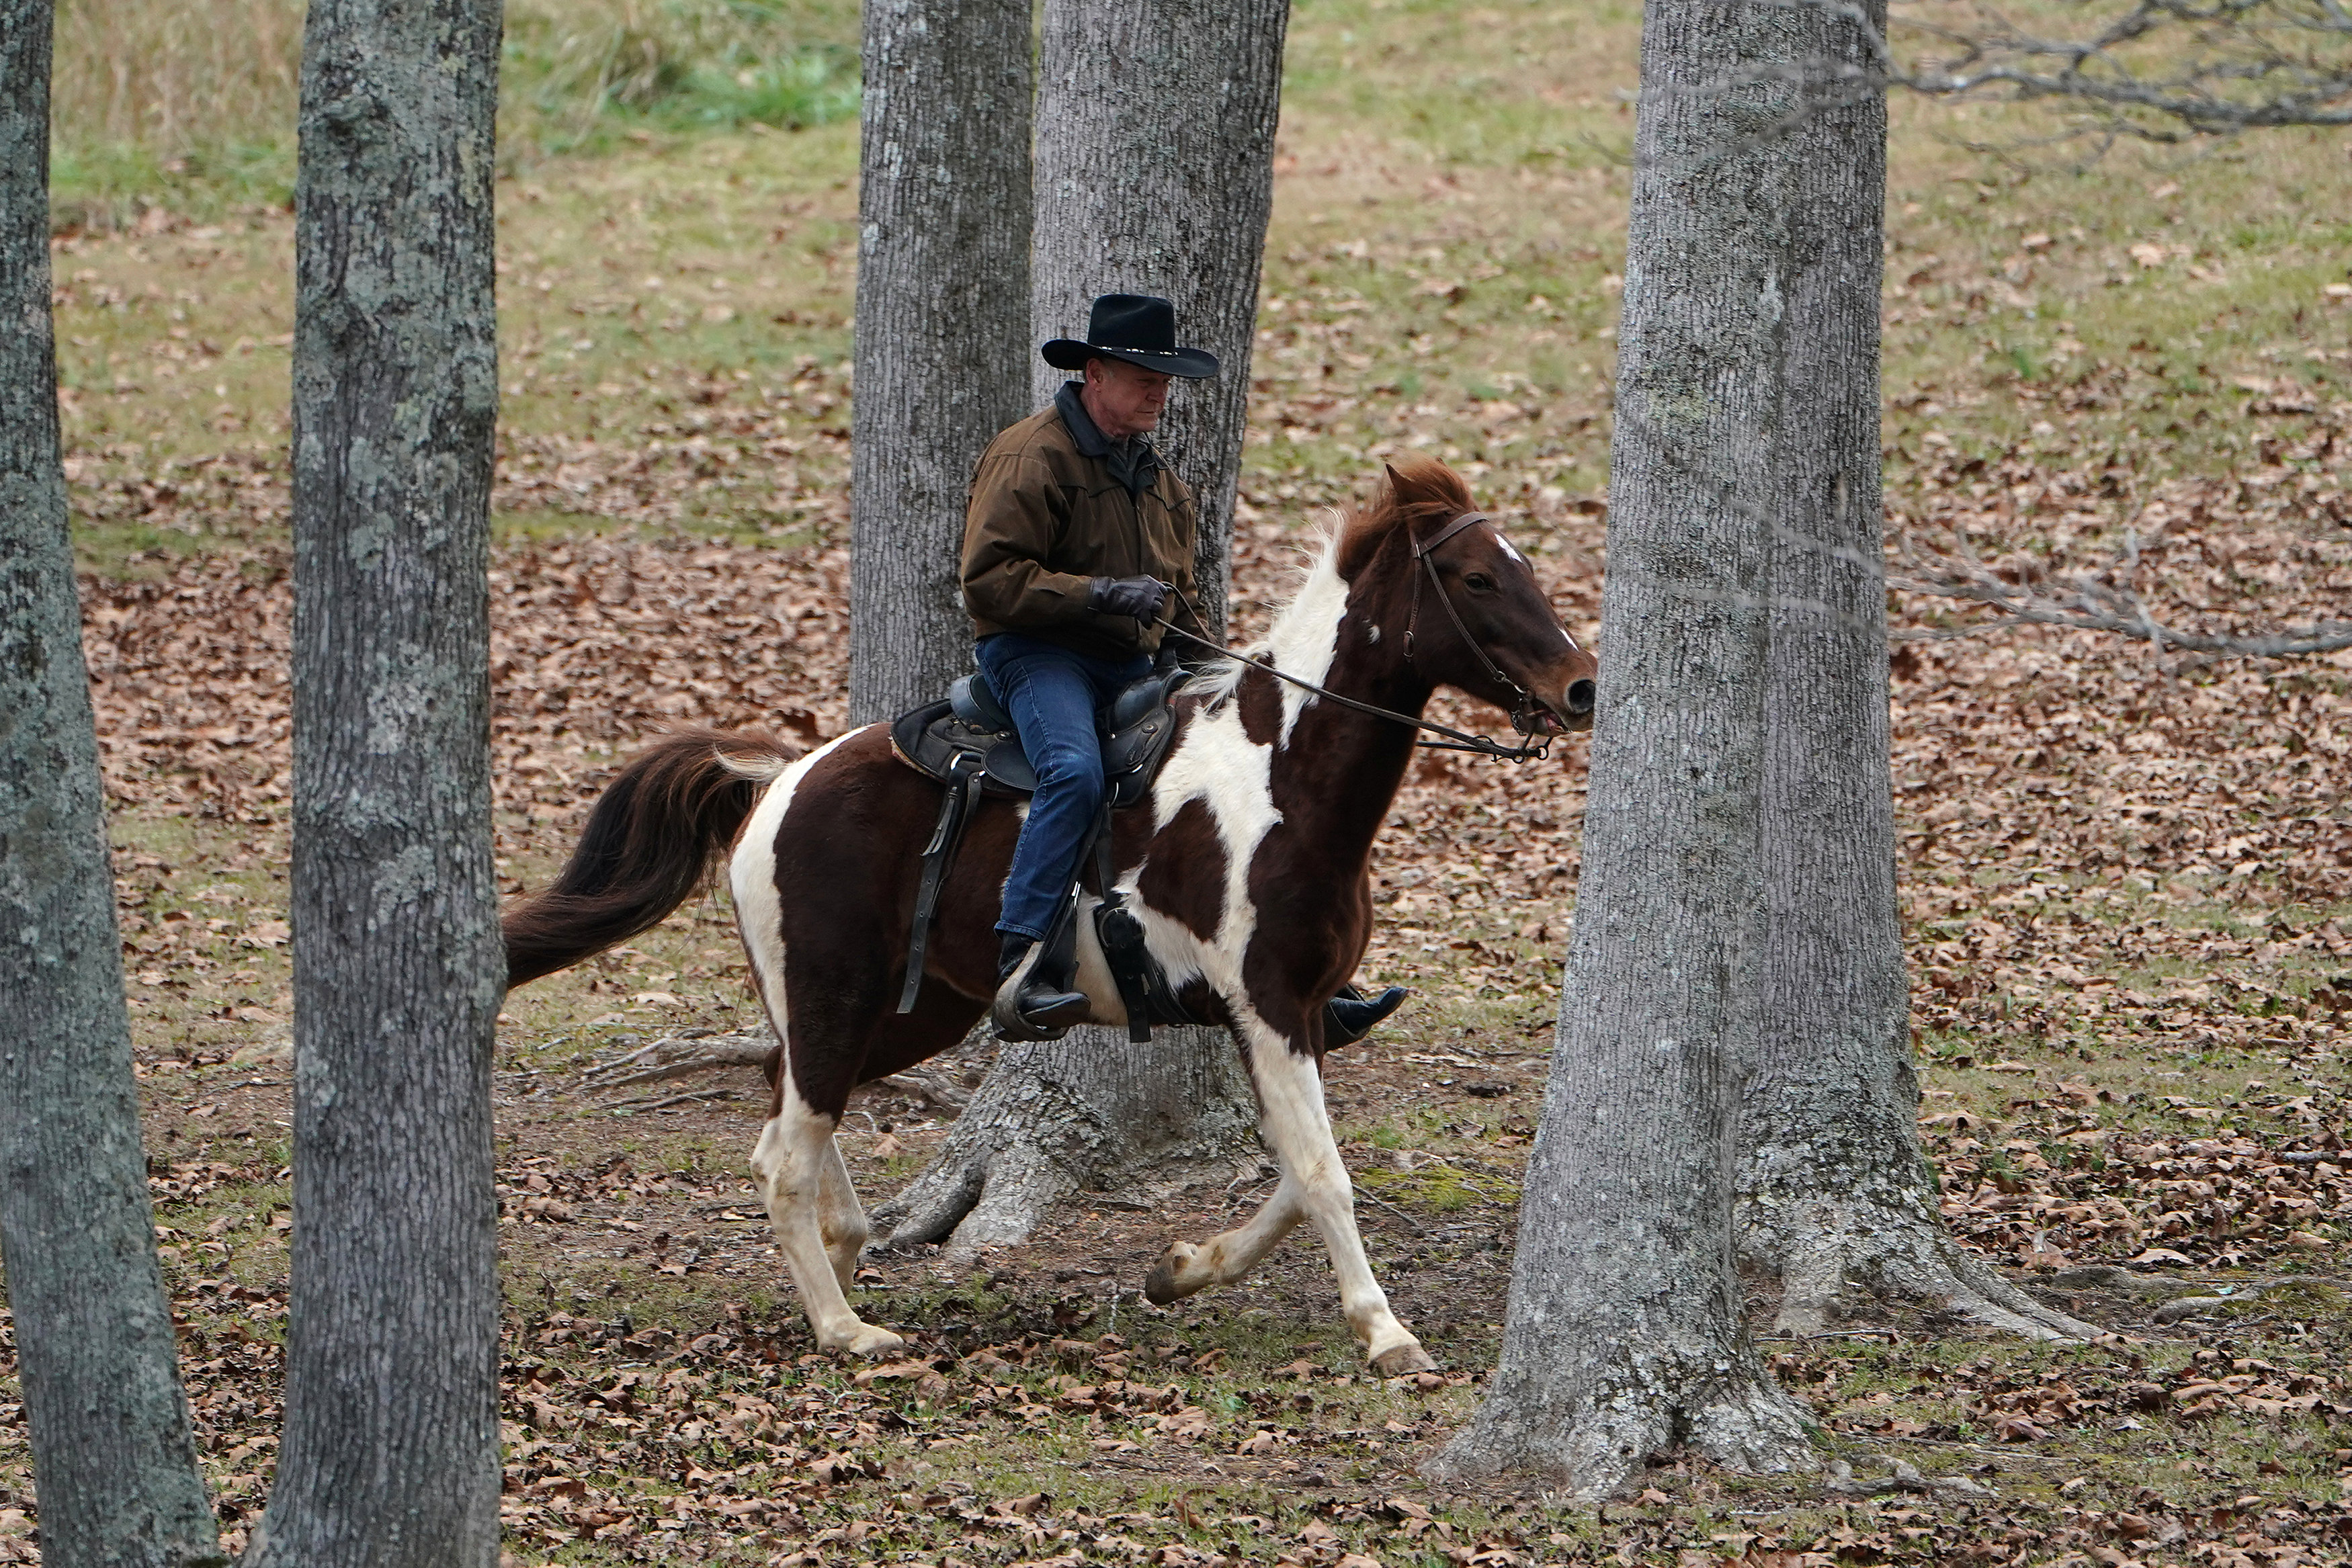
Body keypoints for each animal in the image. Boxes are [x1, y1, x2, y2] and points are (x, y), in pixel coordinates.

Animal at [501, 455, 1599, 1373]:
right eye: (1476, 578)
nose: (1580, 687)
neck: (1280, 775)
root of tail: (776, 780)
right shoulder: (1268, 1007)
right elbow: (1324, 1173)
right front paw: (1385, 1332)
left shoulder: (1301, 1015)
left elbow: (1294, 1176)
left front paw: (1183, 1267)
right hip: (835, 994)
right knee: (781, 1152)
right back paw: (846, 1328)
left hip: (907, 1008)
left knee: (790, 1101)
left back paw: (848, 1254)